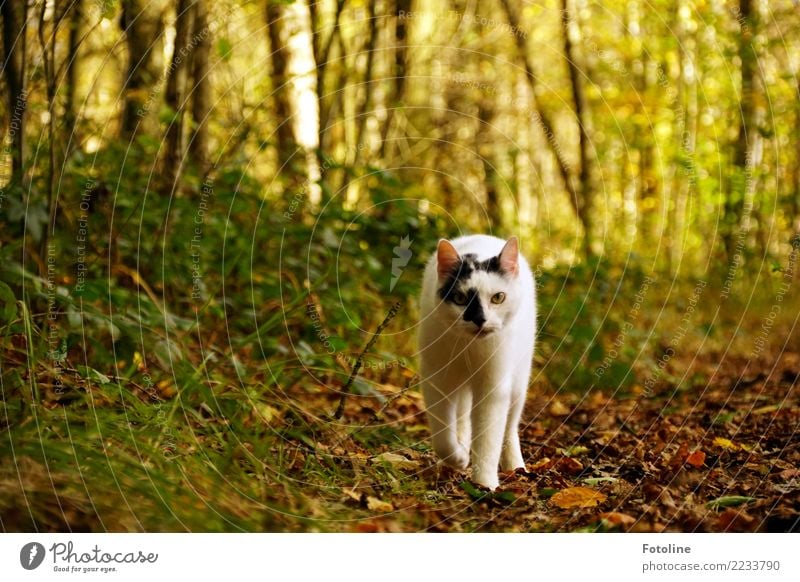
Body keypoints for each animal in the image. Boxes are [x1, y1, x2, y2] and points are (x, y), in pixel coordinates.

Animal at [418, 235, 536, 490]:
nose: (480, 319)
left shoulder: (493, 387)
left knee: (510, 427)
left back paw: (515, 466)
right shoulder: (436, 379)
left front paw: (485, 484)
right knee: (461, 418)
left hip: (519, 381)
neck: (469, 349)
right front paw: (458, 458)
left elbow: (489, 438)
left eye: (498, 297)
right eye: (460, 299)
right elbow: (442, 435)